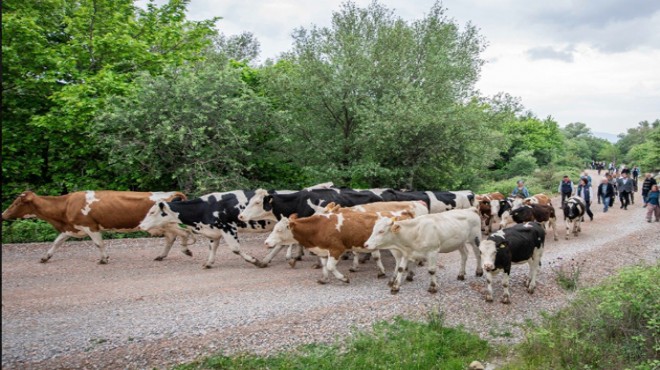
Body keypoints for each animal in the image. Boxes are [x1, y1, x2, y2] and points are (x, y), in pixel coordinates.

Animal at [1, 191, 193, 264]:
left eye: (17, 202)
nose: (3, 214)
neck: (65, 205)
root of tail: (170, 193)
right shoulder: (70, 228)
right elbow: (56, 242)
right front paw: (45, 257)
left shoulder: (90, 226)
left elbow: (98, 244)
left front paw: (103, 259)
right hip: (165, 226)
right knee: (172, 237)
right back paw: (161, 256)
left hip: (166, 224)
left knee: (183, 233)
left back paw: (185, 250)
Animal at [138, 191, 274, 268]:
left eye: (152, 212)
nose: (140, 225)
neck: (206, 207)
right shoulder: (214, 232)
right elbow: (212, 248)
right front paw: (208, 263)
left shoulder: (228, 227)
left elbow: (235, 249)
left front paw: (254, 261)